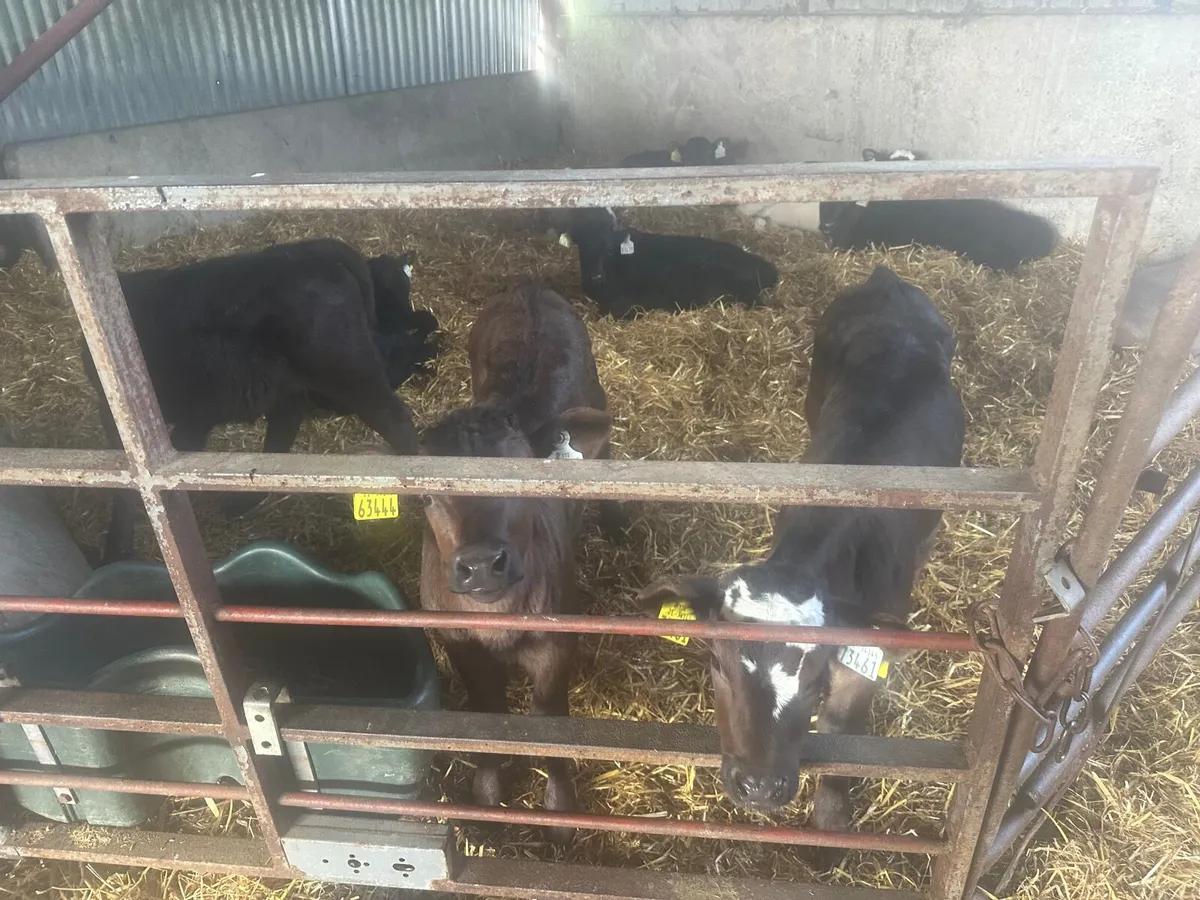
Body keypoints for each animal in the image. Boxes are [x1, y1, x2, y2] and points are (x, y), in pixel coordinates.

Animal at [86, 238, 438, 563]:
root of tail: (322, 251)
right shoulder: (193, 416)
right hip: (293, 386)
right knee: (284, 433)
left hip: (349, 373)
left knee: (397, 422)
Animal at [418, 279, 612, 841]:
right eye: (425, 494)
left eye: (525, 473)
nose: (482, 563)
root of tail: (529, 286)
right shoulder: (459, 644)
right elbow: (486, 714)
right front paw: (485, 801)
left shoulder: (557, 642)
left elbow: (548, 720)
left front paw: (560, 812)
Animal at [638, 266, 964, 866]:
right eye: (716, 663)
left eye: (814, 680)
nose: (759, 787)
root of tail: (889, 280)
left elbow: (841, 742)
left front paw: (830, 833)